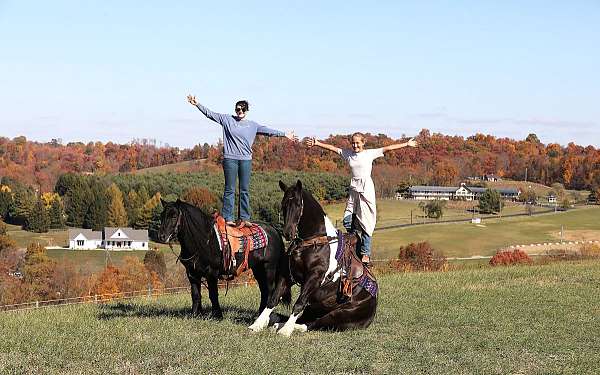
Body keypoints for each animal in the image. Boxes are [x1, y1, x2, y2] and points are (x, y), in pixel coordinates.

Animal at [157, 200, 290, 326]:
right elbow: (195, 295)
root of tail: (274, 230)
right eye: (162, 215)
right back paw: (260, 314)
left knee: (270, 290)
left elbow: (213, 294)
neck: (203, 241)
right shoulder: (192, 274)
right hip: (258, 269)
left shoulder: (212, 273)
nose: (162, 236)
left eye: (174, 216)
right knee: (264, 290)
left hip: (269, 268)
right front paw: (195, 314)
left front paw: (217, 315)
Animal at [251, 181, 378, 336]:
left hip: (338, 314)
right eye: (283, 205)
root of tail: (373, 305)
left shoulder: (313, 278)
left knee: (311, 324)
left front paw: (286, 331)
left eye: (298, 204)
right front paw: (257, 325)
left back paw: (284, 327)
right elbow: (272, 300)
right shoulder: (286, 275)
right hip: (314, 307)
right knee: (305, 320)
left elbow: (298, 303)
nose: (287, 233)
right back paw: (277, 323)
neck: (313, 242)